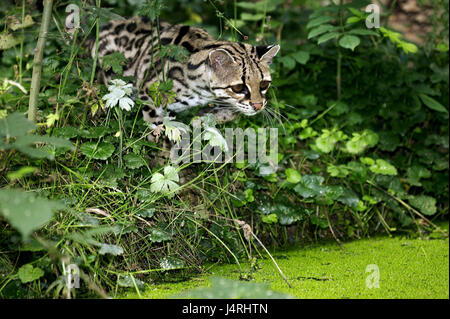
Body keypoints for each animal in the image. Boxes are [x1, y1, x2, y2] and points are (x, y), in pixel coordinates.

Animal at [87, 15, 278, 125]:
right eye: (238, 87)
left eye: (264, 84)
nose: (258, 106)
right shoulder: (150, 95)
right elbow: (159, 131)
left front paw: (209, 116)